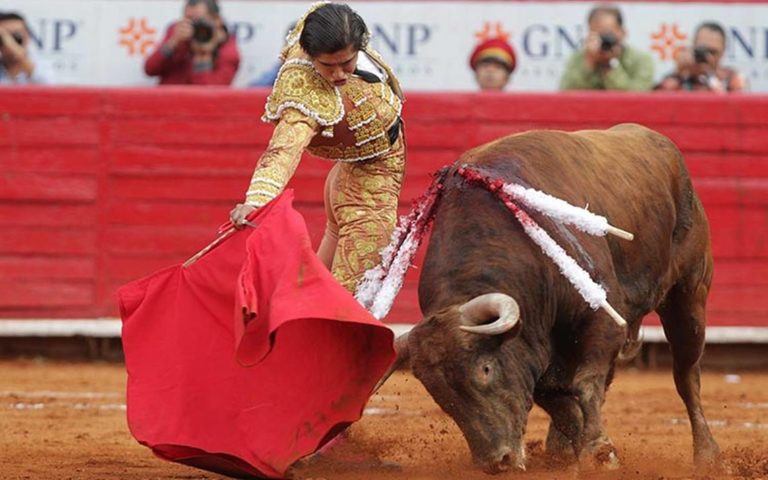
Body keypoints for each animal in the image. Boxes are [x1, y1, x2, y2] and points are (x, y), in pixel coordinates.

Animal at [390, 123, 720, 472]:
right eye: (438, 394)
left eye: (485, 369)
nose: (498, 461)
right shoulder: (537, 348)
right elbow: (558, 399)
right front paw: (578, 449)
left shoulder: (602, 319)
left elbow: (585, 383)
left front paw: (600, 452)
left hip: (689, 295)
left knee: (686, 373)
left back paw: (707, 454)